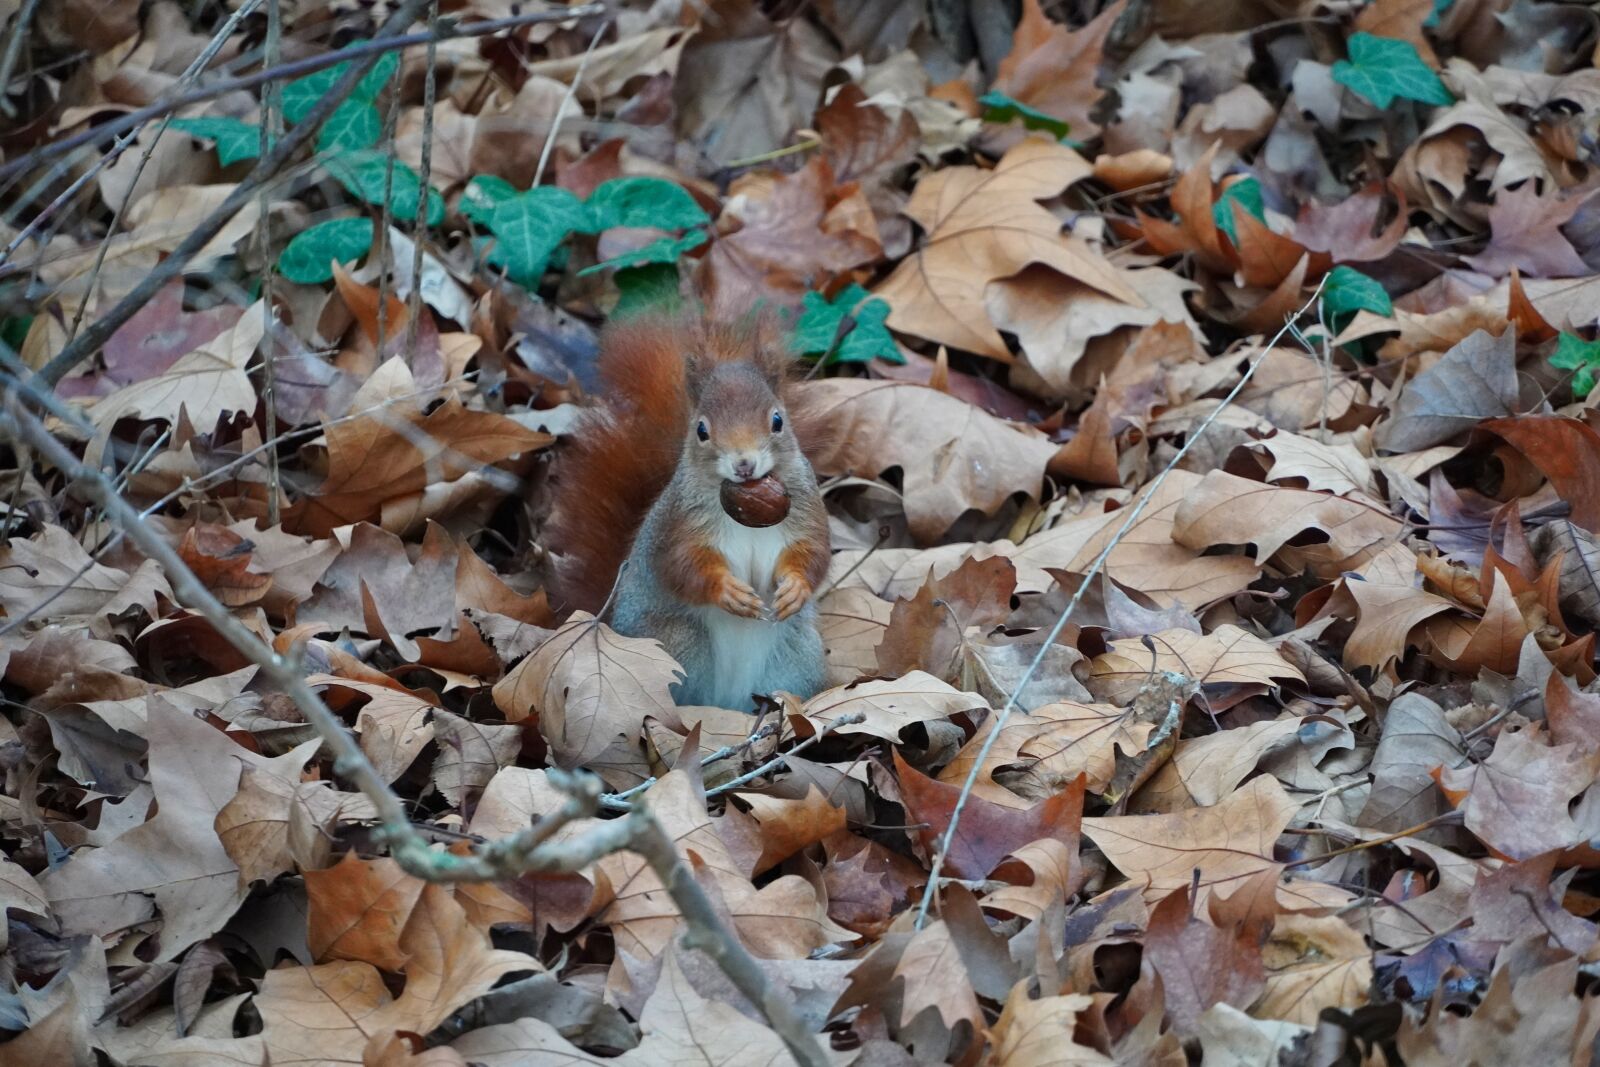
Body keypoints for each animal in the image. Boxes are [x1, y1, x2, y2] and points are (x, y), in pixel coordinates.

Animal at [541, 311, 831, 712]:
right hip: (678, 642)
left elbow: (815, 553)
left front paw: (796, 588)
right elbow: (680, 565)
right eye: (701, 430)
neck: (745, 511)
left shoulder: (806, 509)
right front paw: (727, 591)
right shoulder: (679, 522)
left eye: (778, 421)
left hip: (797, 655)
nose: (744, 464)